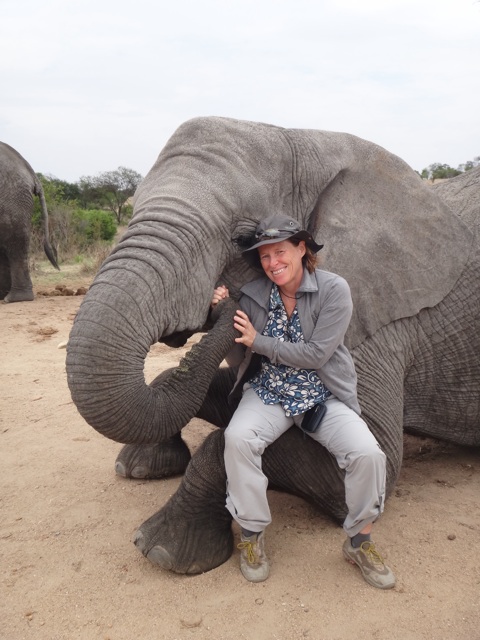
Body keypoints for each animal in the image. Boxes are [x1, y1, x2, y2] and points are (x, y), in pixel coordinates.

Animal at [66, 117, 480, 575]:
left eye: (242, 238)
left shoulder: (379, 319)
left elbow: (371, 465)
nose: (221, 300)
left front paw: (165, 550)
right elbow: (215, 391)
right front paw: (138, 468)